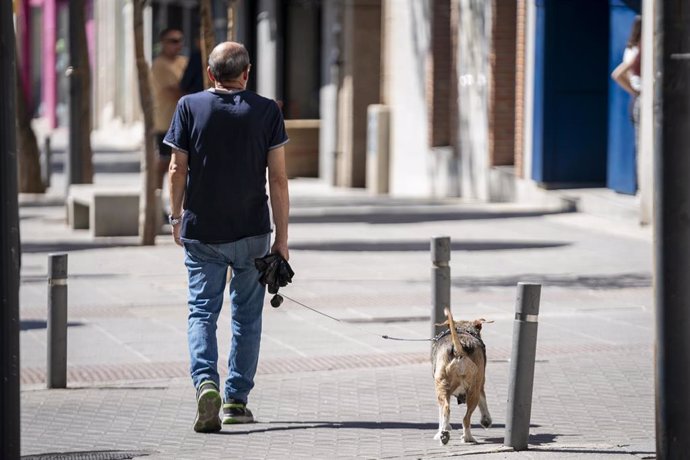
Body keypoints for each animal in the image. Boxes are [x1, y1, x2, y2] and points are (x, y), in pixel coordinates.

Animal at [430, 308, 490, 444]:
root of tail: (460, 349)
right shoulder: (481, 384)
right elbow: (483, 399)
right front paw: (486, 420)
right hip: (473, 388)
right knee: (465, 417)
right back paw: (466, 437)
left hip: (443, 384)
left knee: (447, 409)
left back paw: (445, 434)